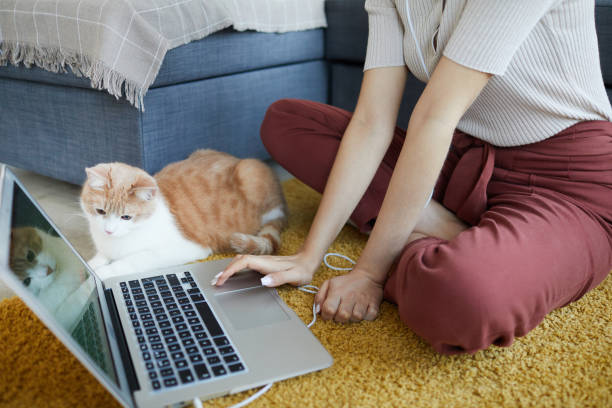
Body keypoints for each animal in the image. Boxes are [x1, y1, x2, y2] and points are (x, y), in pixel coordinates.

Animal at [80, 150, 288, 280]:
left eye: (126, 217)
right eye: (100, 211)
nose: (108, 231)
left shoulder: (185, 248)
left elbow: (130, 261)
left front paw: (102, 273)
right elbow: (98, 259)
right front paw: (91, 267)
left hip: (250, 172)